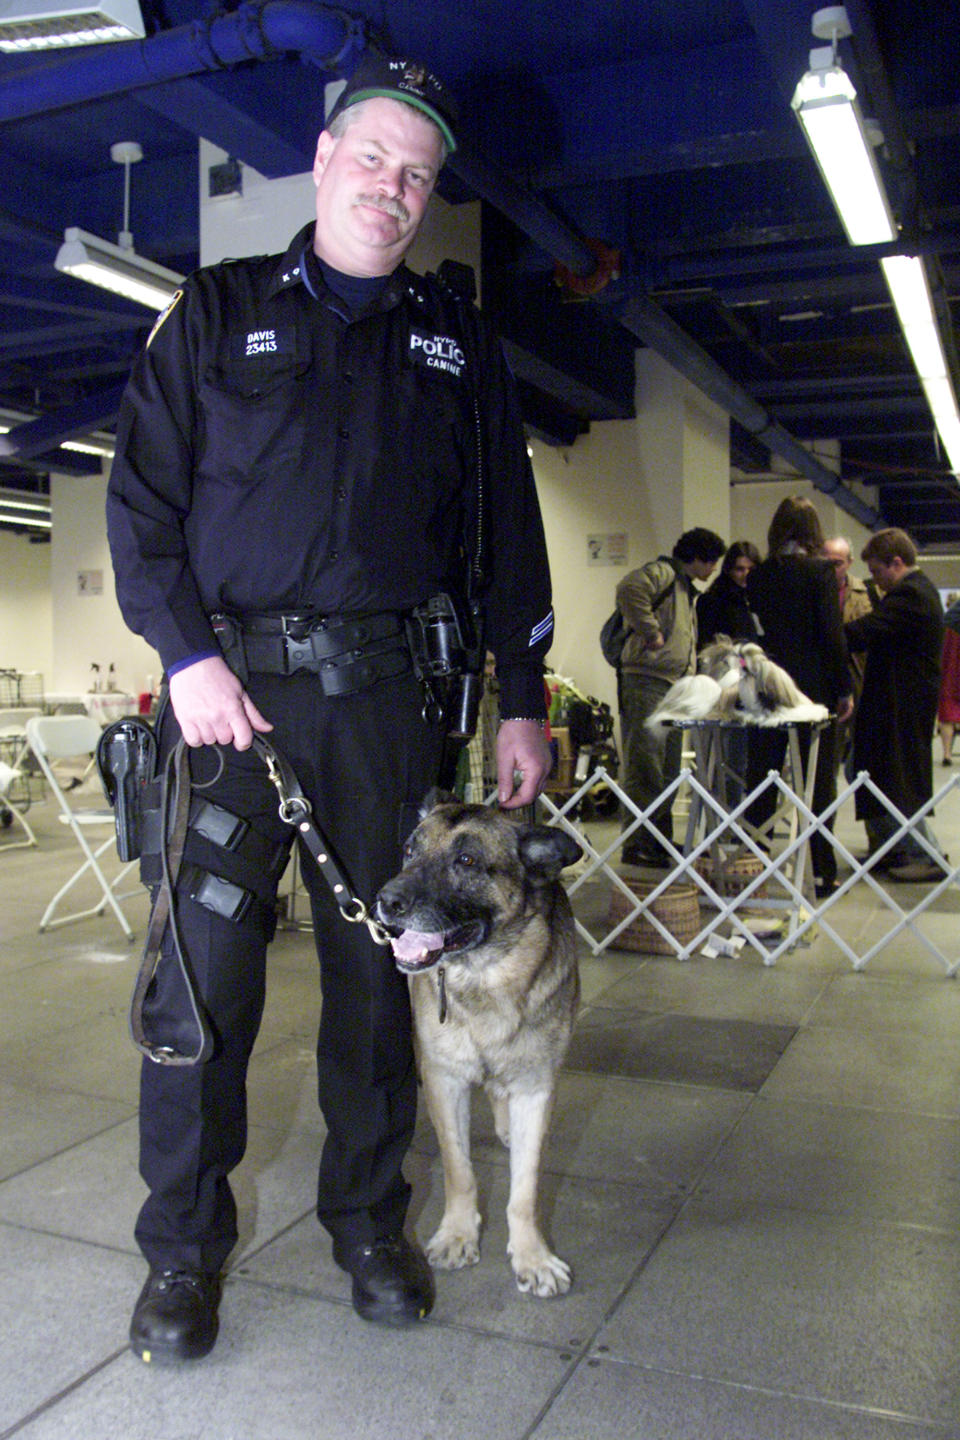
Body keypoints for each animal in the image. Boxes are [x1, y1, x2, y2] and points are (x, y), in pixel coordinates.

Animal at [374, 794, 587, 1301]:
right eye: (409, 851)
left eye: (467, 860)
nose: (385, 903)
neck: (486, 973)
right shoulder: (445, 1081)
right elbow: (460, 1170)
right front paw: (458, 1235)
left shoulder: (535, 1088)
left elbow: (525, 1190)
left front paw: (532, 1256)